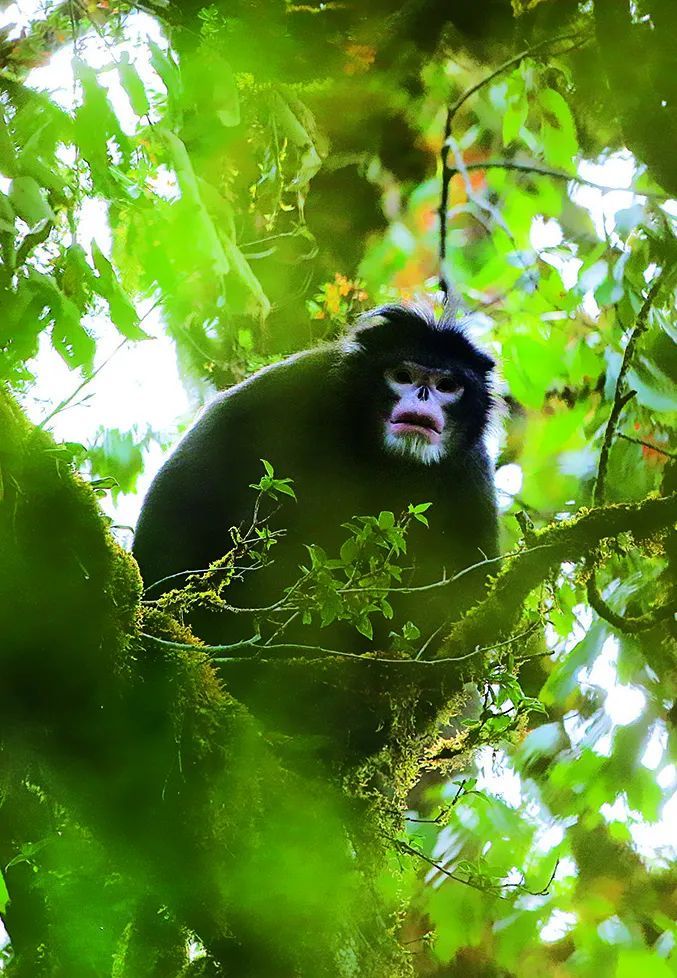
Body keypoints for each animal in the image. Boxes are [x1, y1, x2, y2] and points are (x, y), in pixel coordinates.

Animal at [132, 306, 496, 648]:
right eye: (402, 376)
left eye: (446, 386)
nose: (423, 395)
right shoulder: (290, 385)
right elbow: (181, 495)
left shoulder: (472, 467)